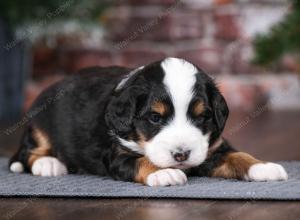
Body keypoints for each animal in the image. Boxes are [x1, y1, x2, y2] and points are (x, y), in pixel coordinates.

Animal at [8, 57, 288, 186]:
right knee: (27, 152)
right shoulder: (117, 154)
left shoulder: (213, 148)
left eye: (201, 117)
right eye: (155, 118)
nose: (181, 155)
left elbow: (238, 156)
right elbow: (141, 160)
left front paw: (263, 166)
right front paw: (164, 173)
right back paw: (49, 164)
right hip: (40, 125)